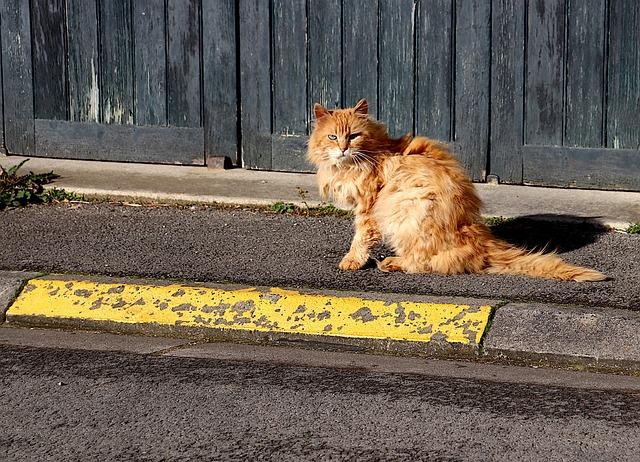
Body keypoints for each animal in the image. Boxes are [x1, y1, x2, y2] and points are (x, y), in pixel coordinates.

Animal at [308, 98, 608, 282]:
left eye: (353, 136)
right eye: (333, 137)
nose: (343, 148)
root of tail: (478, 240)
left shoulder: (369, 207)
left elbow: (360, 238)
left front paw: (352, 261)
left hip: (408, 211)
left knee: (425, 263)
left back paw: (393, 263)